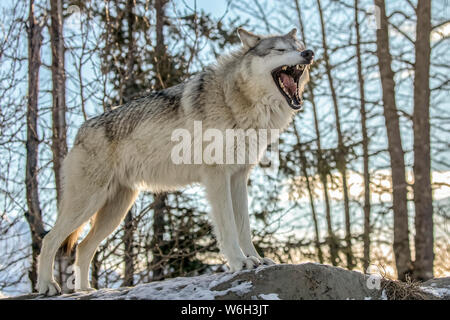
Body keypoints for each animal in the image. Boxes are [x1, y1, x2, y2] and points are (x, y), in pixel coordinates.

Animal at [37, 27, 314, 296]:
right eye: (280, 50)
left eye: (299, 47)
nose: (309, 53)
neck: (236, 98)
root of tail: (79, 132)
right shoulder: (217, 176)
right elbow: (228, 227)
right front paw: (239, 262)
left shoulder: (238, 177)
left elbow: (244, 227)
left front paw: (256, 259)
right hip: (88, 203)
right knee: (50, 239)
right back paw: (47, 286)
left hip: (115, 210)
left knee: (83, 247)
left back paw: (86, 290)